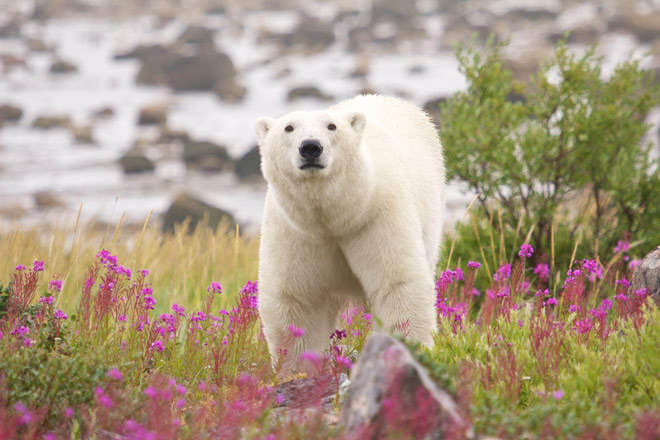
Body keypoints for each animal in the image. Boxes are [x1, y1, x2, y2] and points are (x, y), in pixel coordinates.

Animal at [255, 93, 446, 372]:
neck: (335, 219)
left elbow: (397, 283)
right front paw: (298, 370)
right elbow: (296, 300)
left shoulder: (377, 219)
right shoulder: (295, 232)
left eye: (331, 126)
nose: (310, 147)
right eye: (288, 127)